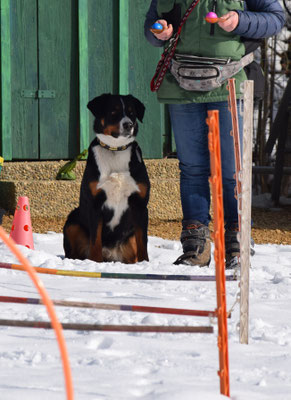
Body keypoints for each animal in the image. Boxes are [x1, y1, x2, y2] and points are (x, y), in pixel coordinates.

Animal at [64, 92, 151, 264]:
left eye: (132, 112)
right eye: (113, 112)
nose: (128, 125)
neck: (115, 150)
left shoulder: (140, 205)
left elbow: (142, 242)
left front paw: (145, 263)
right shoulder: (95, 203)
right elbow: (95, 240)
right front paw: (95, 262)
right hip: (72, 221)